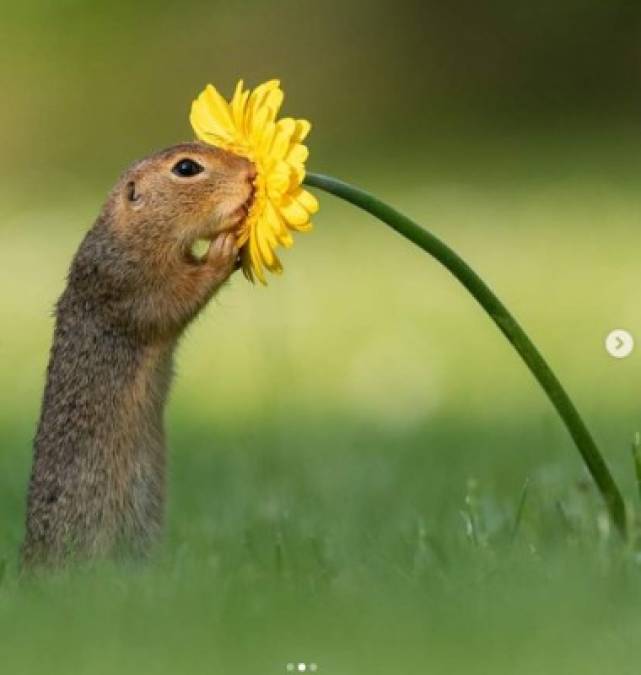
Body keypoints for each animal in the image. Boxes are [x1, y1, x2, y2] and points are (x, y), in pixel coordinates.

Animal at [20, 144, 255, 572]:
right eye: (186, 168)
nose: (250, 172)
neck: (131, 231)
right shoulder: (132, 282)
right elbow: (176, 297)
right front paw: (223, 249)